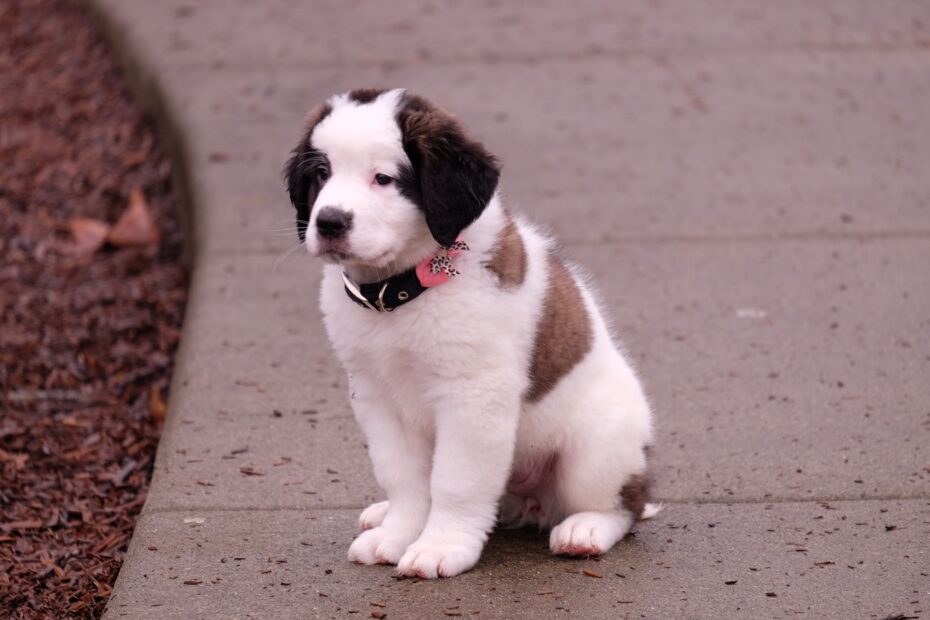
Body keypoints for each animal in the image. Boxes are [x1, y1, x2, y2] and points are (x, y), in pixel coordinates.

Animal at [286, 89, 656, 580]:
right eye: (321, 174)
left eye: (383, 179)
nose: (328, 222)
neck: (399, 290)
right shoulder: (375, 396)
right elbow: (403, 476)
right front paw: (397, 533)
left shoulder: (473, 396)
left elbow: (454, 481)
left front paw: (440, 546)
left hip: (596, 449)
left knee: (622, 504)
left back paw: (586, 529)